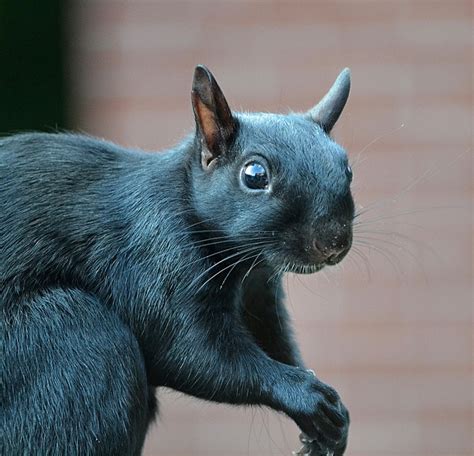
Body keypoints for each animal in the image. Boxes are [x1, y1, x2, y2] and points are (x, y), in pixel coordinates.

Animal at [0, 65, 354, 456]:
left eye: (347, 168)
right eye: (254, 175)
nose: (334, 242)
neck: (244, 262)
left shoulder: (259, 292)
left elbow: (274, 340)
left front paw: (328, 420)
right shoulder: (153, 258)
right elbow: (191, 352)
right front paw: (304, 395)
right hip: (68, 337)